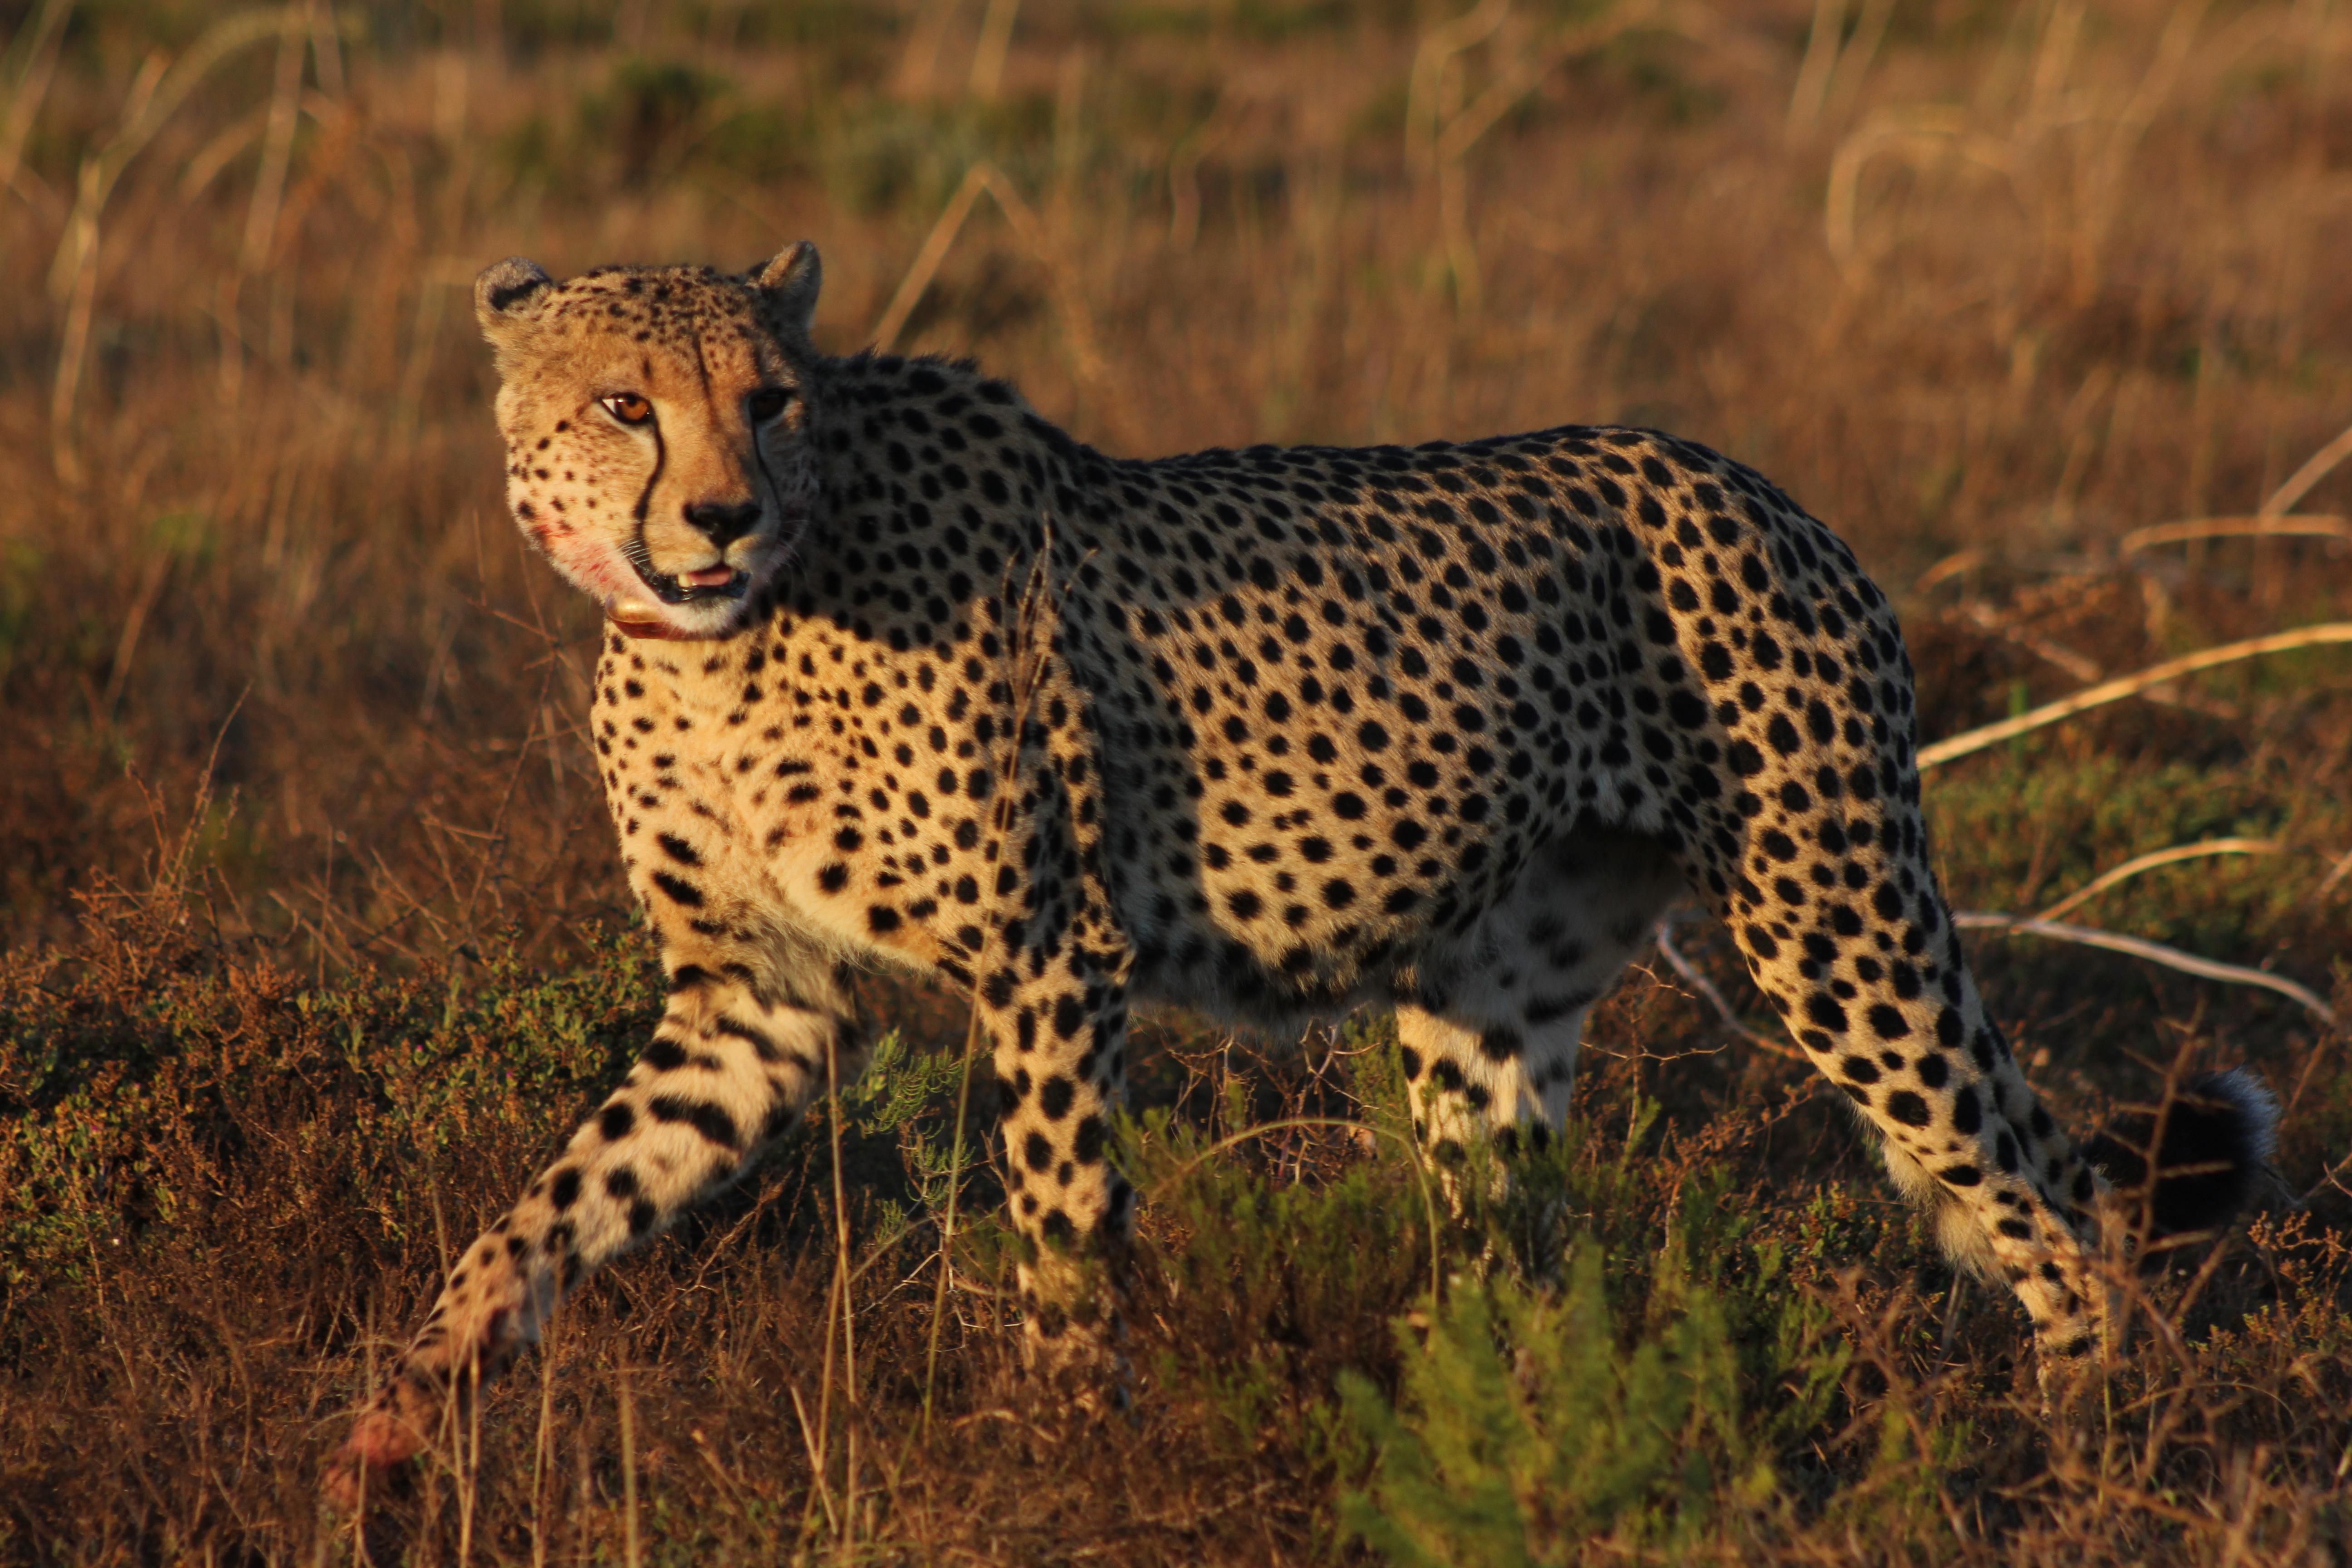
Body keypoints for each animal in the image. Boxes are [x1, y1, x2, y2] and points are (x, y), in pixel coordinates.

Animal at [322, 242, 2267, 1495]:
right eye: (625, 404)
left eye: (774, 401)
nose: (720, 511)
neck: (718, 636)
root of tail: (1751, 481)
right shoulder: (758, 1000)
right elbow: (553, 1202)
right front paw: (394, 1422)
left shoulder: (1052, 962)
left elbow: (1060, 1236)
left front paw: (1062, 1462)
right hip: (1487, 1006)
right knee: (1521, 1257)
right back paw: (1506, 1437)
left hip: (1837, 921)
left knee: (2054, 1213)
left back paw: (2089, 1452)